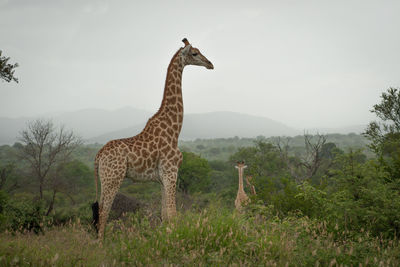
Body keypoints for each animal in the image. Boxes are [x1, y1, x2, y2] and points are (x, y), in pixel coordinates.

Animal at [92, 38, 214, 241]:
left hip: (104, 179)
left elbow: (165, 215)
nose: (210, 64)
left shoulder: (163, 177)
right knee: (103, 212)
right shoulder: (171, 171)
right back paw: (101, 244)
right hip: (113, 178)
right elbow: (172, 214)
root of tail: (98, 156)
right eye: (195, 53)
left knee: (99, 211)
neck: (174, 129)